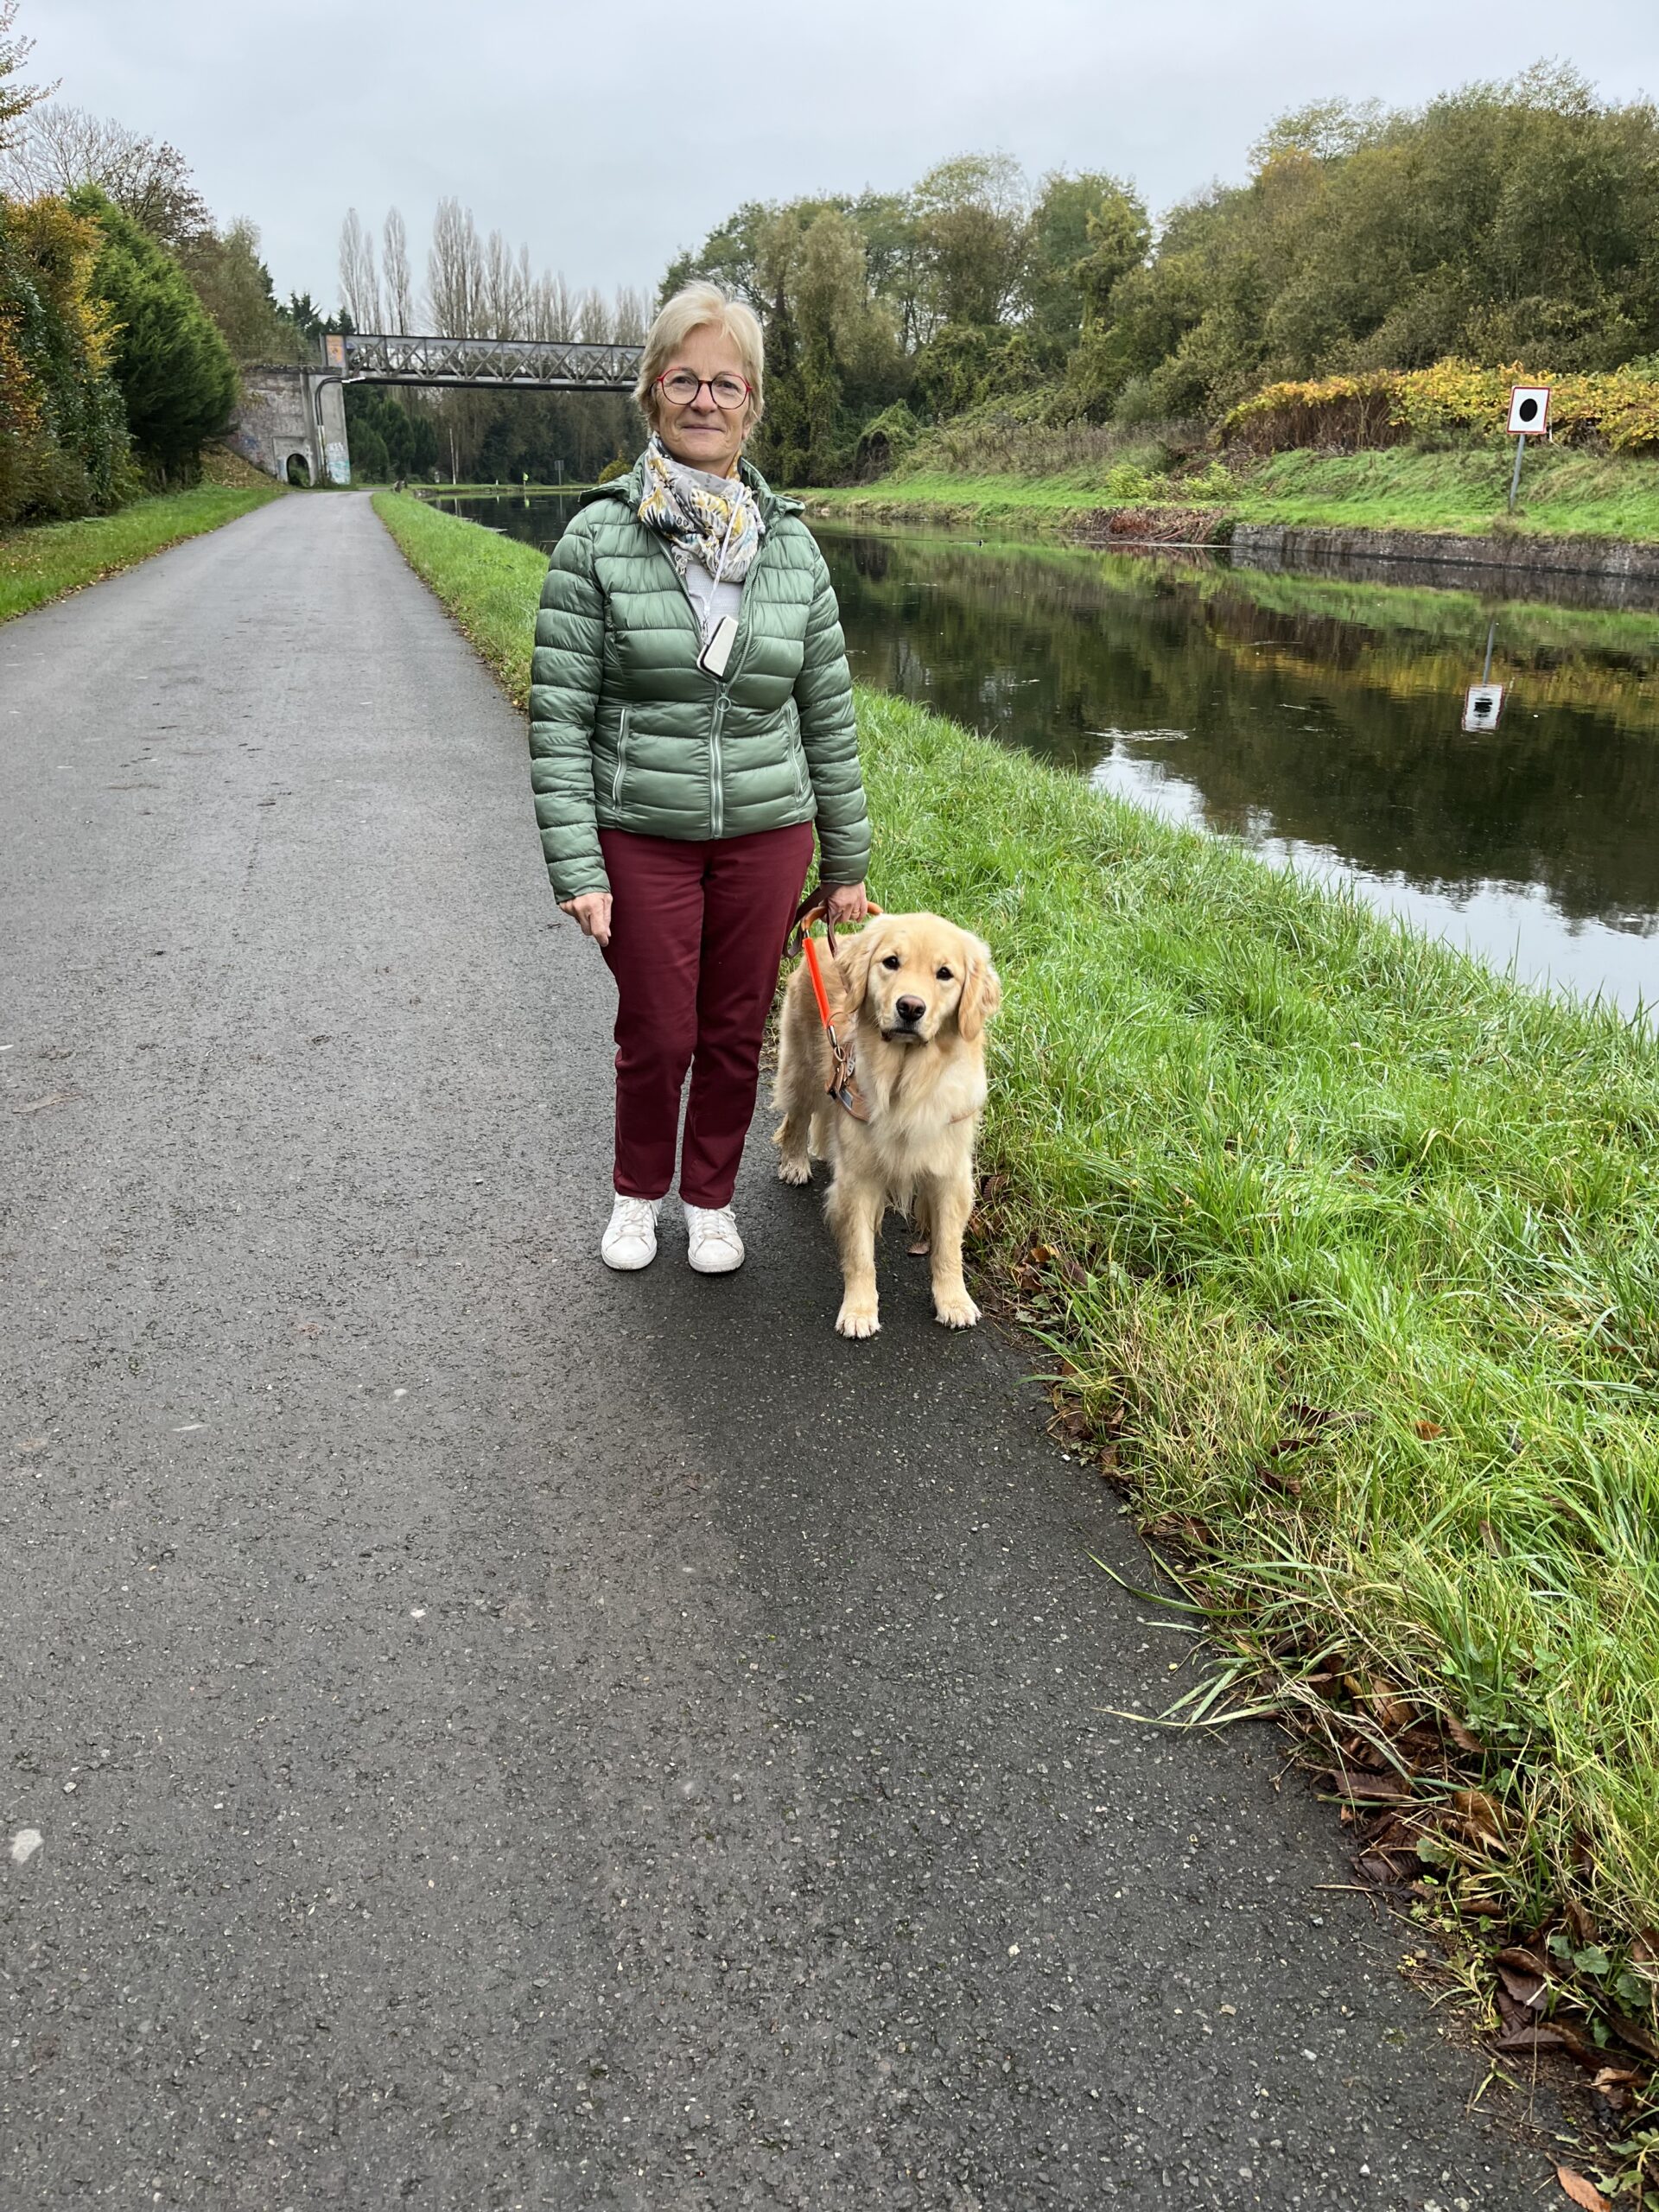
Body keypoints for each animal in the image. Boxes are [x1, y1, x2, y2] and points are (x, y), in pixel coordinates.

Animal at [779, 911, 1000, 1336]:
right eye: (891, 962)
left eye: (944, 973)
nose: (910, 1007)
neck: (907, 1080)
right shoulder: (859, 1178)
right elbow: (860, 1253)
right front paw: (859, 1309)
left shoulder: (950, 1173)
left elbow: (948, 1248)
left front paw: (954, 1301)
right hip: (802, 1069)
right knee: (796, 1118)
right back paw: (795, 1163)